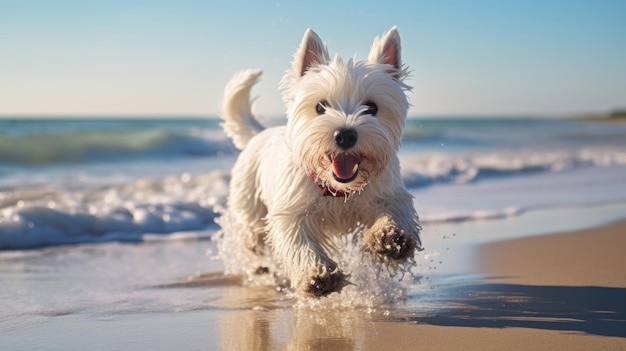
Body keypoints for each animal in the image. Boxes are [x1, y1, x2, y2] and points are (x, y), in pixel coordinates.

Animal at [218, 26, 420, 298]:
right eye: (320, 107)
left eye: (371, 107)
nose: (345, 135)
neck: (338, 190)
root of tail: (258, 133)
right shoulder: (291, 211)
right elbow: (298, 241)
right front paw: (317, 274)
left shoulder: (389, 192)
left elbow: (395, 210)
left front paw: (389, 238)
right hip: (248, 205)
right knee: (253, 241)